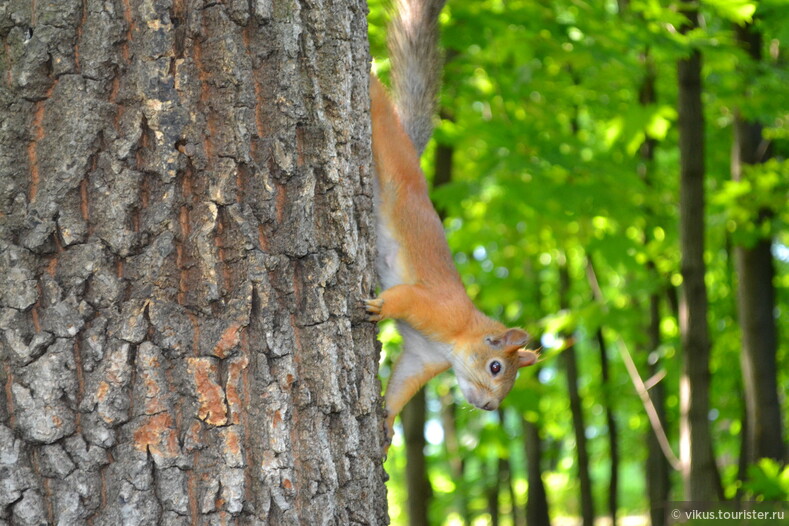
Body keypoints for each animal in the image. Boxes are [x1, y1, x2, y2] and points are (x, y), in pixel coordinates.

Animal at [366, 0, 540, 442]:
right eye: (496, 367)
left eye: (511, 381)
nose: (491, 406)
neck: (459, 336)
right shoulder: (432, 307)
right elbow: (403, 298)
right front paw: (380, 306)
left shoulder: (421, 358)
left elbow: (401, 387)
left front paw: (386, 423)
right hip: (391, 153)